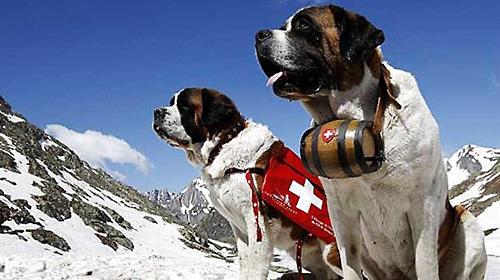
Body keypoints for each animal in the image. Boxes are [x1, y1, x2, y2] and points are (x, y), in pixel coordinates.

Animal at [152, 88, 342, 280]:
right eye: (172, 102)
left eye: (184, 106)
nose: (156, 112)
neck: (224, 144)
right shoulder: (239, 227)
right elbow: (245, 261)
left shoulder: (257, 221)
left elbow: (256, 265)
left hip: (331, 254)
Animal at [256, 4, 486, 280]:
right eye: (284, 26)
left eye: (304, 25)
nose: (259, 35)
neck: (362, 119)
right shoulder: (341, 215)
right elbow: (350, 263)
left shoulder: (424, 206)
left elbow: (426, 264)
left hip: (468, 223)